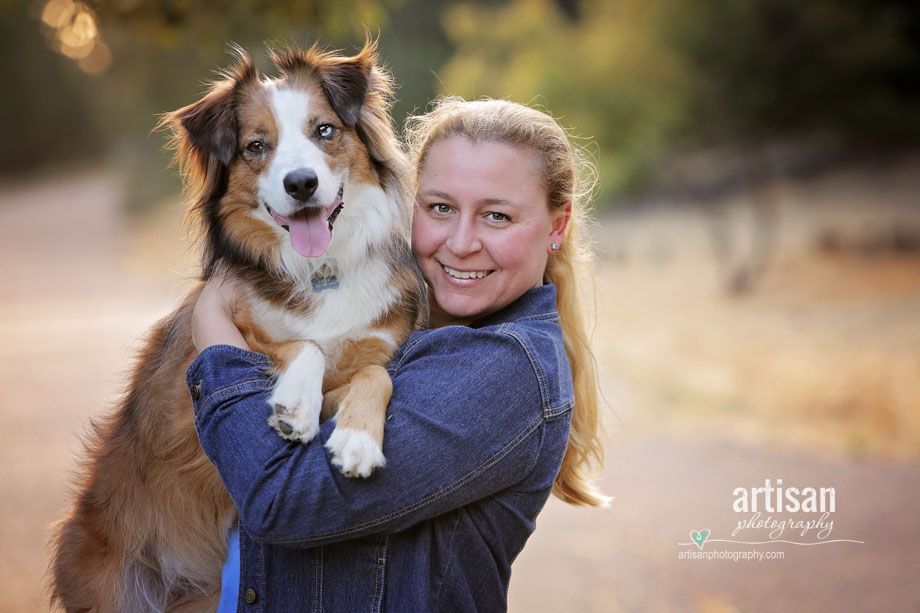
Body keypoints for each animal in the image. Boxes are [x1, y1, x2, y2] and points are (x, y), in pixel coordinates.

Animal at [47, 40, 428, 608]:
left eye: (324, 130)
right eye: (255, 146)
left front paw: (358, 440)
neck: (320, 272)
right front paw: (295, 404)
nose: (301, 184)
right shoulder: (212, 353)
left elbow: (373, 373)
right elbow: (301, 347)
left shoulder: (373, 349)